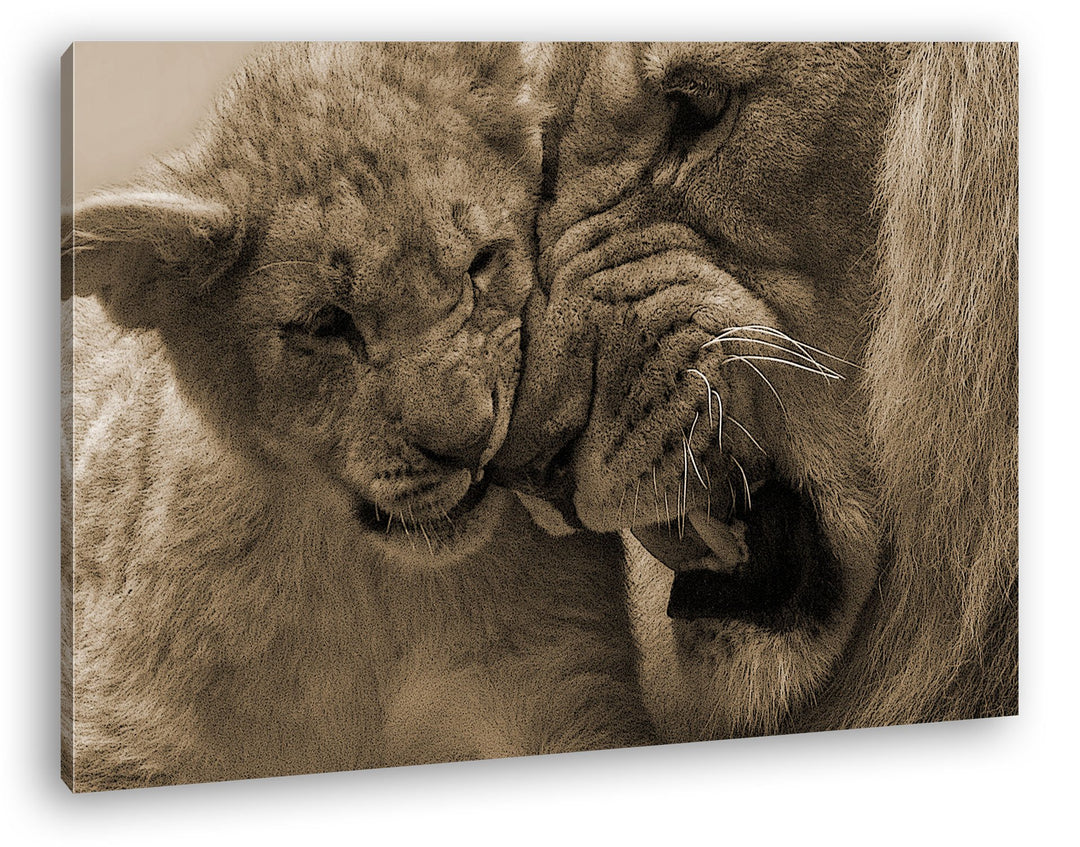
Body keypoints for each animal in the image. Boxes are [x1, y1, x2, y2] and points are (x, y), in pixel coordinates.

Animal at [61, 42, 652, 791]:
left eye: (482, 263)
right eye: (326, 324)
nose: (469, 443)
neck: (373, 592)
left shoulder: (567, 685)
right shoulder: (119, 739)